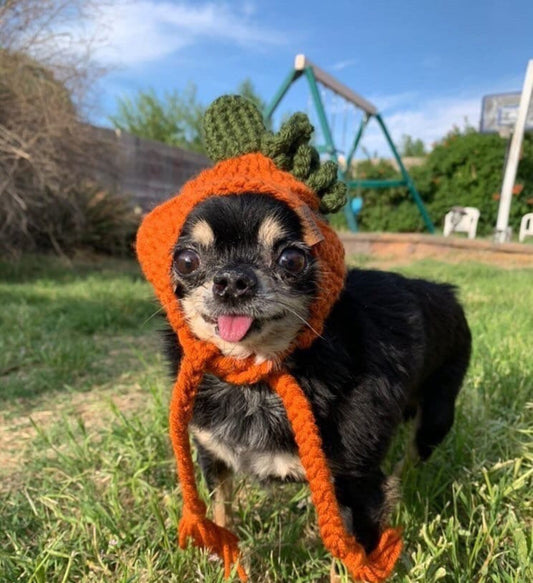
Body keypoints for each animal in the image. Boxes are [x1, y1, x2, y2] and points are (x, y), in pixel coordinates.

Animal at [162, 192, 470, 576]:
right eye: (186, 261)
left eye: (292, 260)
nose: (232, 280)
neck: (256, 380)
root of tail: (445, 291)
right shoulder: (213, 457)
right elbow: (223, 517)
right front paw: (229, 569)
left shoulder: (357, 484)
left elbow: (354, 560)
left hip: (436, 418)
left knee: (412, 459)